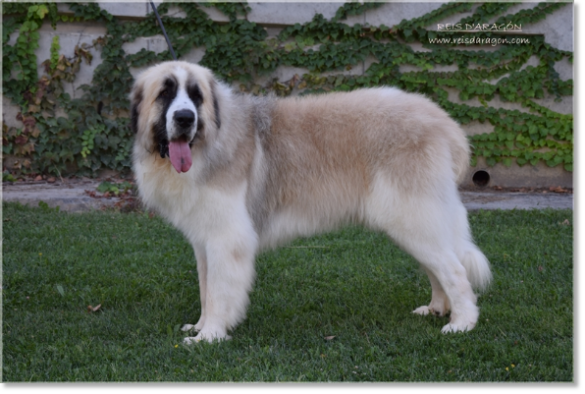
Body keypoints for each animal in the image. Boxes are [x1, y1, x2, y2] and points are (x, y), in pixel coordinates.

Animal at [130, 60, 490, 344]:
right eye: (165, 94)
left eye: (196, 95)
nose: (185, 118)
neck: (211, 140)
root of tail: (442, 120)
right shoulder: (205, 242)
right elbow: (207, 290)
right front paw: (201, 326)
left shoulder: (226, 239)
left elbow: (218, 293)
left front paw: (210, 336)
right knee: (438, 267)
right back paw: (438, 308)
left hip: (413, 217)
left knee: (455, 270)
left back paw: (462, 323)